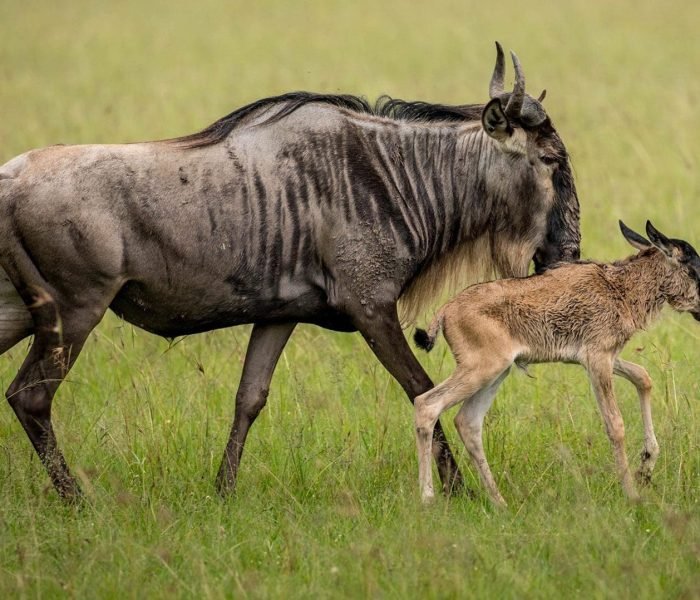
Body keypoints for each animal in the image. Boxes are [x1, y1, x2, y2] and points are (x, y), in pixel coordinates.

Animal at [412, 221, 696, 506]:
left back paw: (498, 501)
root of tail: (446, 310)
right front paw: (631, 492)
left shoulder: (601, 358)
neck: (618, 287)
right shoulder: (597, 359)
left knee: (467, 422)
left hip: (496, 373)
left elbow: (643, 376)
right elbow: (615, 424)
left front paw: (646, 466)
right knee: (427, 404)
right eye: (692, 268)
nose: (699, 311)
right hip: (481, 370)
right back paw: (427, 498)